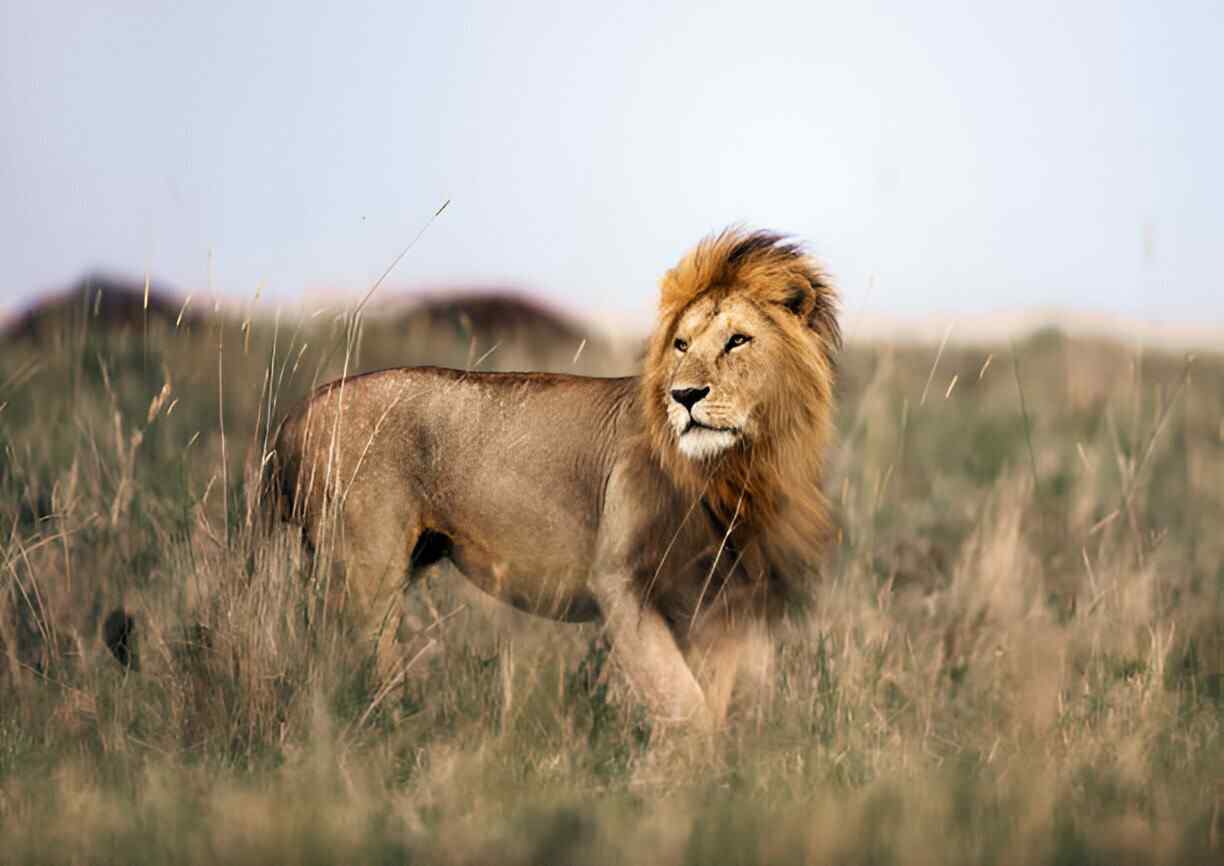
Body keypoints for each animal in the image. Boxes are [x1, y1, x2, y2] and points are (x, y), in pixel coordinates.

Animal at [269, 228, 840, 729]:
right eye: (681, 345)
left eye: (738, 341)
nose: (684, 395)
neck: (738, 470)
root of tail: (298, 413)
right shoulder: (620, 581)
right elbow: (684, 703)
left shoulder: (721, 601)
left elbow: (711, 703)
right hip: (365, 574)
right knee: (344, 667)